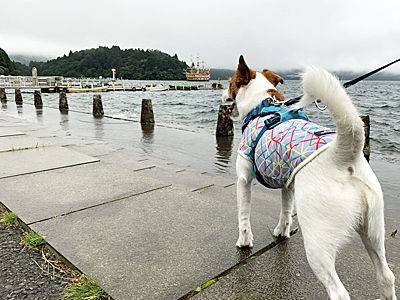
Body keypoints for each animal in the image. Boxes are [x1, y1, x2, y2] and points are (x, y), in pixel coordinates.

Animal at [223, 55, 396, 298]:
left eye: (230, 83)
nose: (222, 93)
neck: (262, 104)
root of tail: (343, 155)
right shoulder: (288, 184)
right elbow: (286, 211)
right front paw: (282, 232)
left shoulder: (244, 179)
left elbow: (243, 215)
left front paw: (244, 242)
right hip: (373, 231)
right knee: (386, 277)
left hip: (317, 242)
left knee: (338, 291)